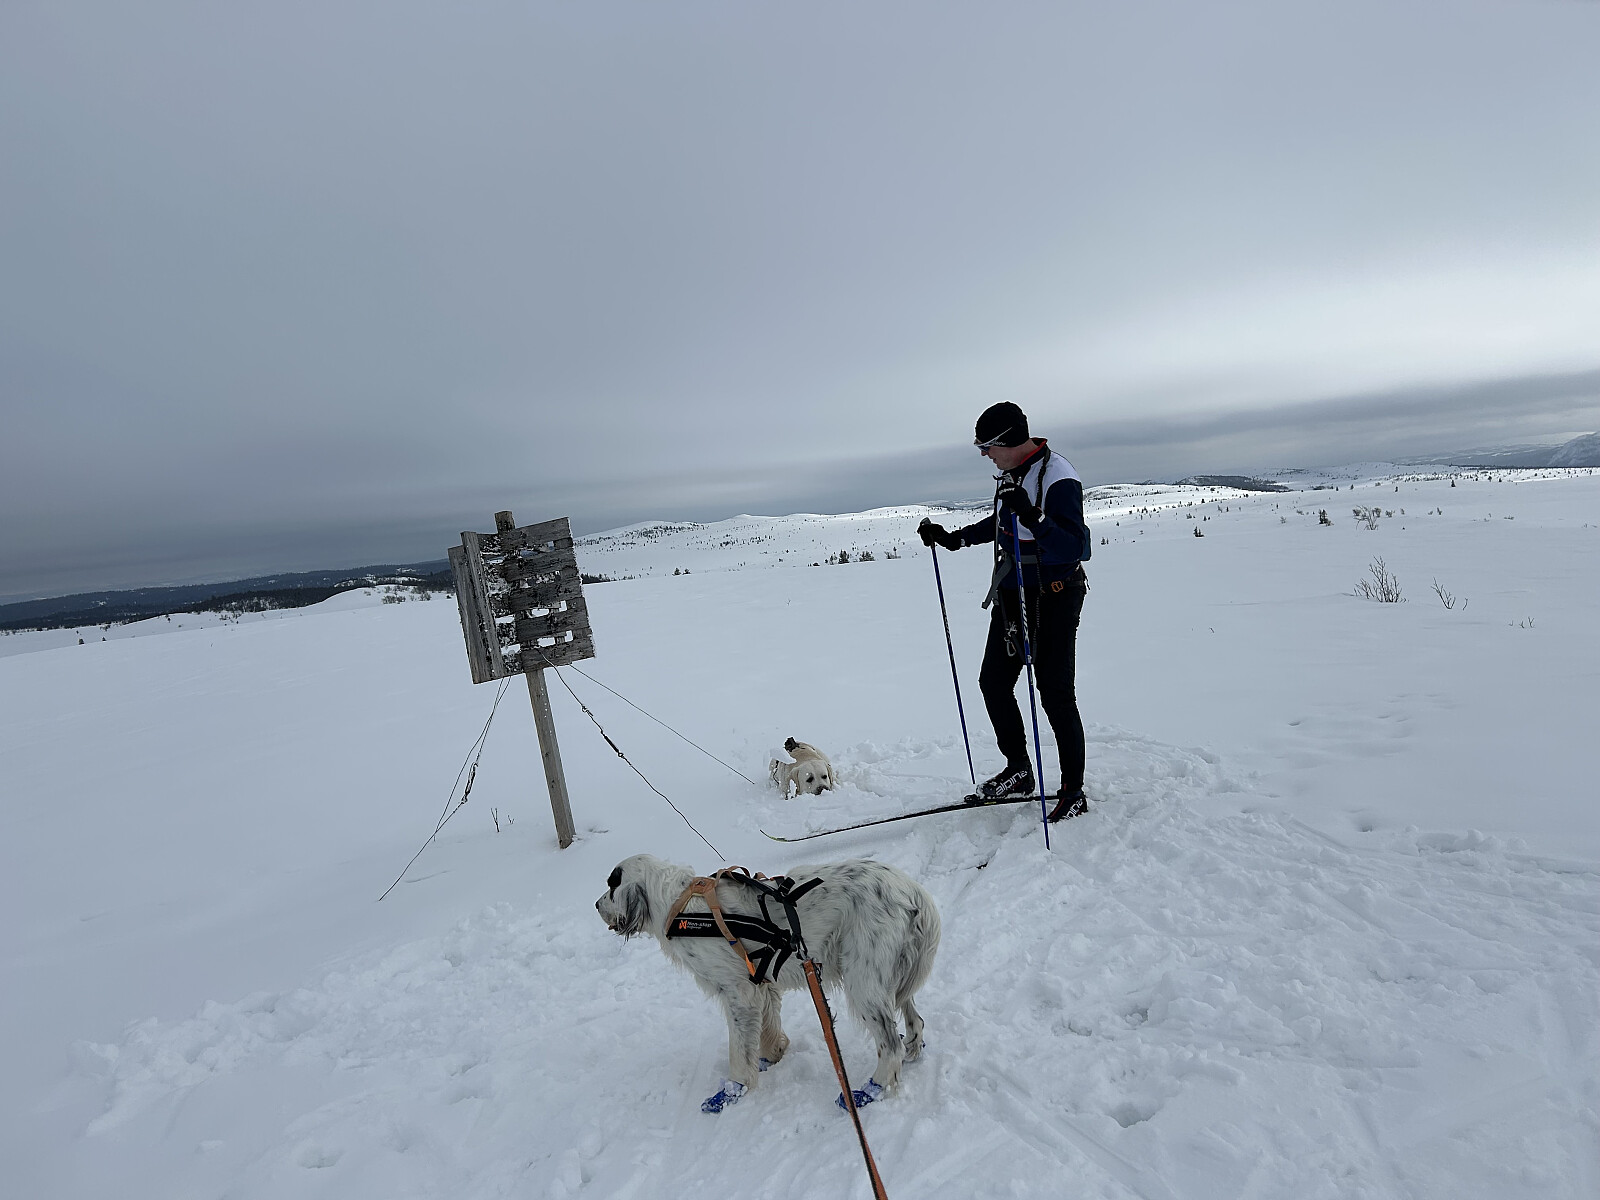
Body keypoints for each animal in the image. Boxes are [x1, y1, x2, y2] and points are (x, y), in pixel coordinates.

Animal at [595, 854, 940, 1111]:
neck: (677, 905)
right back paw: (912, 1049)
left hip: (864, 981)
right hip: (894, 977)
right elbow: (766, 1030)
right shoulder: (761, 984)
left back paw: (870, 1090)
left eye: (612, 886)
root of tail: (914, 891)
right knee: (915, 1021)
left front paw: (732, 1090)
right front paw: (770, 1056)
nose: (596, 905)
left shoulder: (739, 992)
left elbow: (738, 1050)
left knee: (889, 1045)